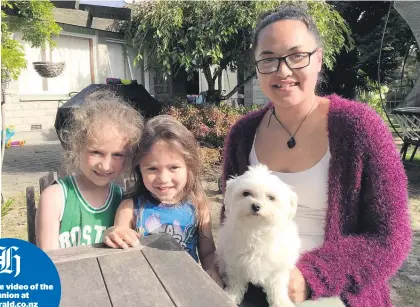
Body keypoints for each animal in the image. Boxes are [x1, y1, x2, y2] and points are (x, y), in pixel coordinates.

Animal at [218, 165, 300, 306]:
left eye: (271, 198)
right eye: (246, 193)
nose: (255, 206)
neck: (256, 229)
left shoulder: (278, 268)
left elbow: (277, 288)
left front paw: (281, 302)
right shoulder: (236, 263)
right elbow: (235, 282)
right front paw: (231, 296)